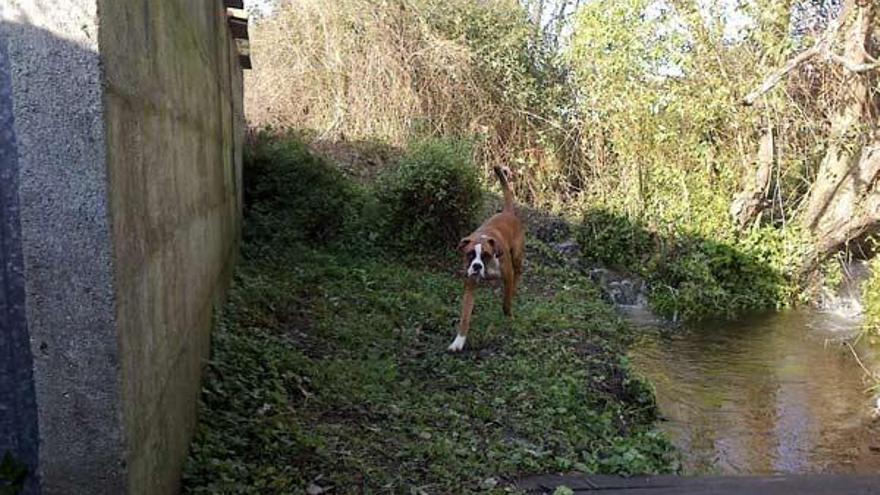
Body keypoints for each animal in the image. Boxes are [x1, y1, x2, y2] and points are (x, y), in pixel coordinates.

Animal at [446, 167, 524, 352]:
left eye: (486, 255)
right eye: (469, 254)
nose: (476, 266)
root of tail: (507, 212)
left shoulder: (507, 275)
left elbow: (506, 302)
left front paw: (508, 315)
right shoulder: (470, 285)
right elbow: (465, 316)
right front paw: (458, 341)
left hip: (517, 257)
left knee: (518, 273)